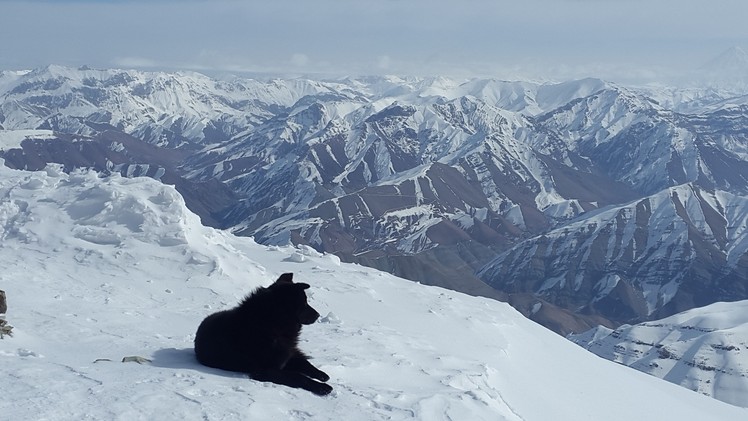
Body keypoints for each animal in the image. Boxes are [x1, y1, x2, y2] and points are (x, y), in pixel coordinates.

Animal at [194, 272, 332, 394]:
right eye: (304, 303)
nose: (318, 315)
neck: (270, 324)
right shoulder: (266, 370)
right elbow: (298, 377)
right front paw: (322, 387)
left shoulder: (287, 355)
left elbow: (305, 364)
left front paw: (321, 375)